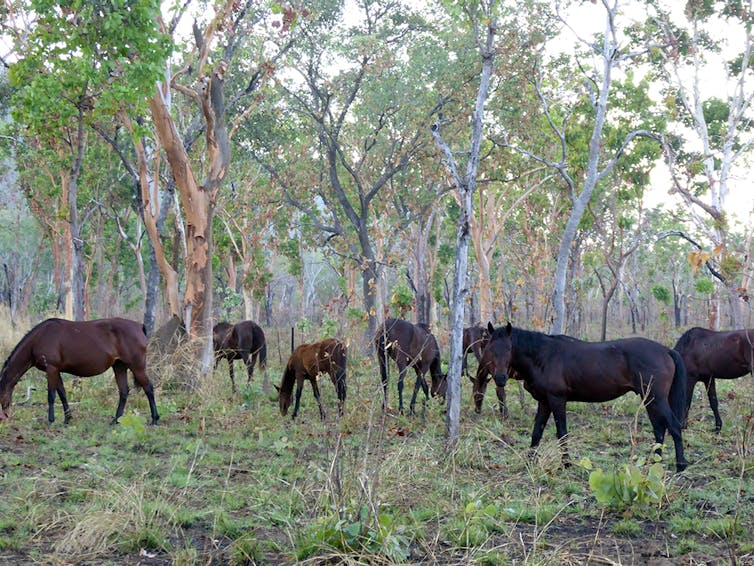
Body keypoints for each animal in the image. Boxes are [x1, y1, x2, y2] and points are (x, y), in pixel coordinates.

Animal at [0, 320, 159, 426]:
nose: (4, 416)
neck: (40, 337)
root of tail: (139, 326)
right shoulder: (56, 370)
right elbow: (62, 394)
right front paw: (67, 419)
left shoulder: (51, 368)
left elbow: (51, 395)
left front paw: (51, 420)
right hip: (119, 366)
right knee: (124, 391)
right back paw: (115, 420)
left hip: (137, 366)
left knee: (148, 388)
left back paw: (154, 419)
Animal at [476, 324, 688, 474]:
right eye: (491, 349)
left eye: (509, 348)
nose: (500, 378)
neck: (543, 356)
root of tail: (666, 350)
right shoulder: (544, 402)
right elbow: (537, 432)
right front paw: (530, 460)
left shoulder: (557, 400)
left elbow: (562, 432)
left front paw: (566, 464)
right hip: (649, 399)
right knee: (659, 429)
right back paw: (654, 463)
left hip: (656, 398)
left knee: (673, 426)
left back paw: (680, 465)